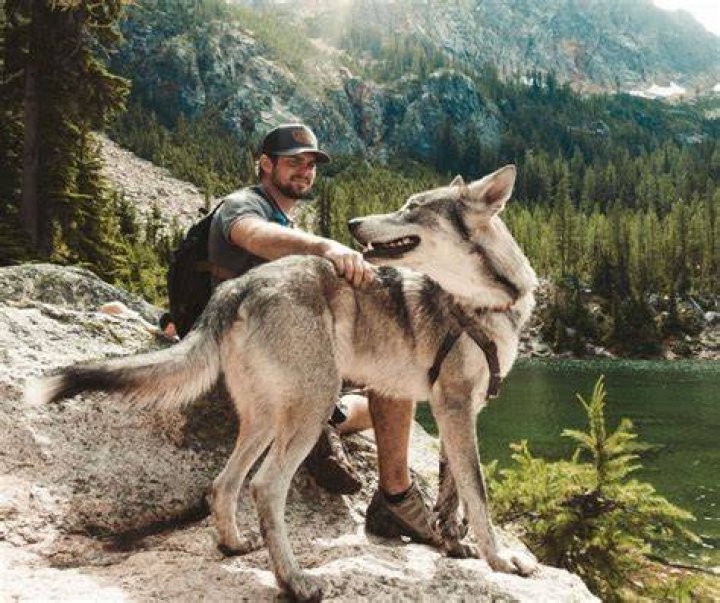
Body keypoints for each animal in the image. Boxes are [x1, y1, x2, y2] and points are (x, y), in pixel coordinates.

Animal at [27, 165, 539, 601]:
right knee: (265, 487)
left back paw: (234, 546)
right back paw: (294, 581)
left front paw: (455, 546)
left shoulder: (462, 409)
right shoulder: (453, 405)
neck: (484, 301)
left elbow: (455, 494)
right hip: (314, 407)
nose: (353, 224)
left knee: (223, 484)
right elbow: (479, 494)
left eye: (412, 207)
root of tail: (236, 287)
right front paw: (502, 561)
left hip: (266, 418)